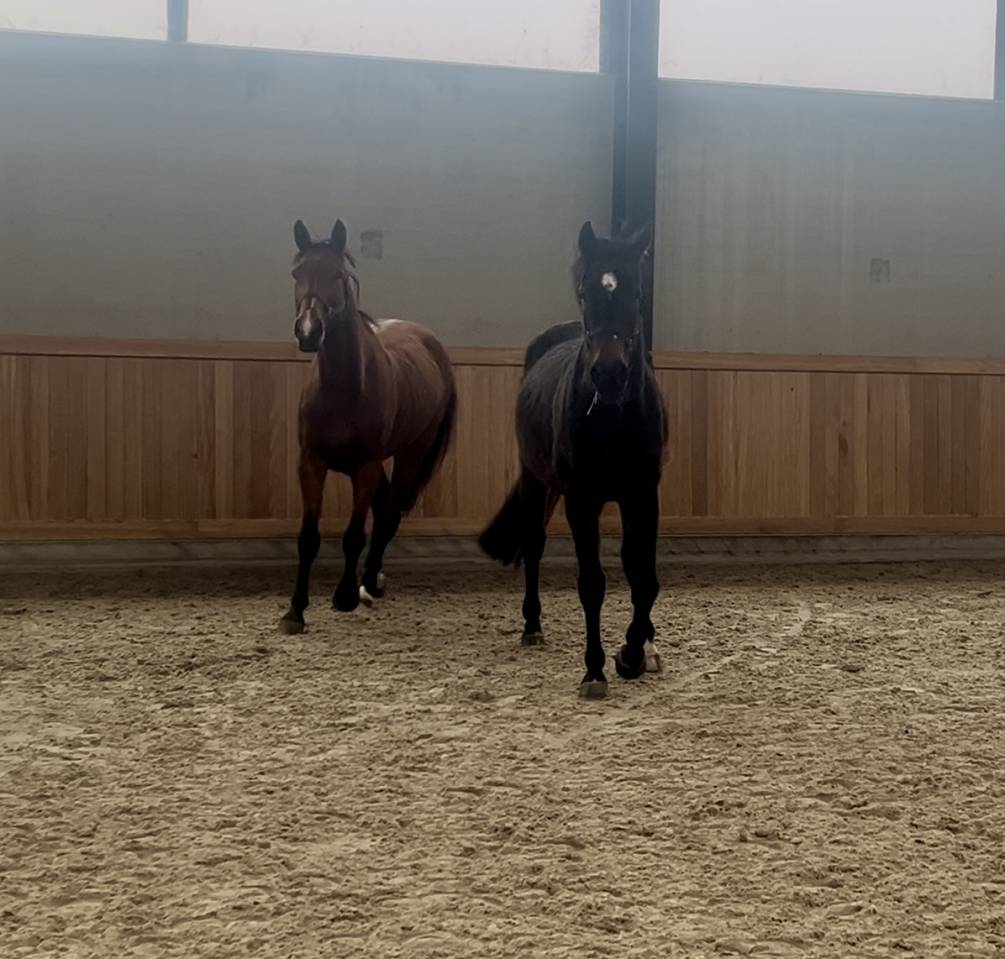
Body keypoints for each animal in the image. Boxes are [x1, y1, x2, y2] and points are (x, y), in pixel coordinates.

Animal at [280, 218, 457, 634]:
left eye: (337, 274)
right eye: (297, 273)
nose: (308, 331)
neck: (344, 387)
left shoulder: (366, 466)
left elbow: (354, 534)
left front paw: (344, 596)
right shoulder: (310, 463)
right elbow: (308, 537)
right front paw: (295, 610)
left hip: (411, 454)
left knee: (389, 513)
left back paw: (368, 582)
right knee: (386, 506)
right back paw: (370, 580)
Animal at [479, 221, 667, 698]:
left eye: (638, 292)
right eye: (584, 291)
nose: (609, 374)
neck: (614, 415)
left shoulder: (643, 496)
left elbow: (643, 575)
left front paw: (635, 652)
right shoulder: (582, 501)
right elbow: (592, 583)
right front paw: (596, 669)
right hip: (535, 481)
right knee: (533, 544)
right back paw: (532, 626)